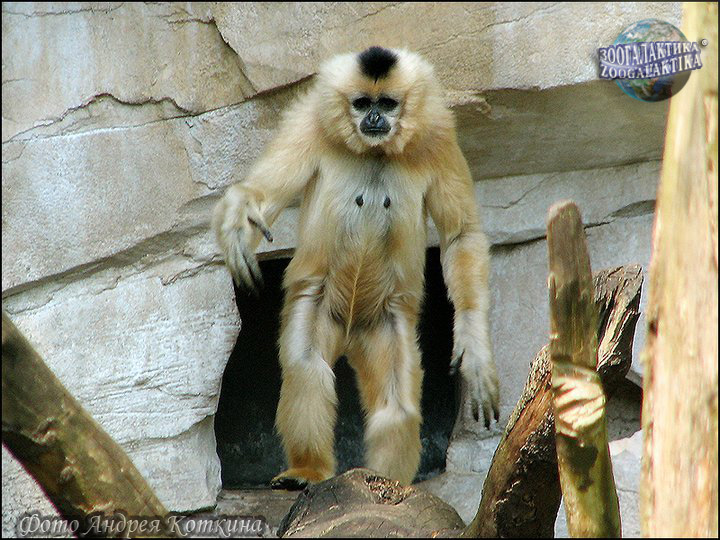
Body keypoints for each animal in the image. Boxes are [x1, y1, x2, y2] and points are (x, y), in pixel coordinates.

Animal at [213, 46, 499, 489]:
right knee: (307, 366)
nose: (375, 119)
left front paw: (474, 342)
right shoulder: (309, 123)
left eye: (388, 103)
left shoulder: (438, 136)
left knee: (396, 404)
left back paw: (385, 483)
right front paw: (238, 222)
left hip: (384, 321)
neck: (374, 151)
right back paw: (308, 470)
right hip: (319, 302)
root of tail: (350, 332)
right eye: (363, 103)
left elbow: (460, 236)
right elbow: (260, 194)